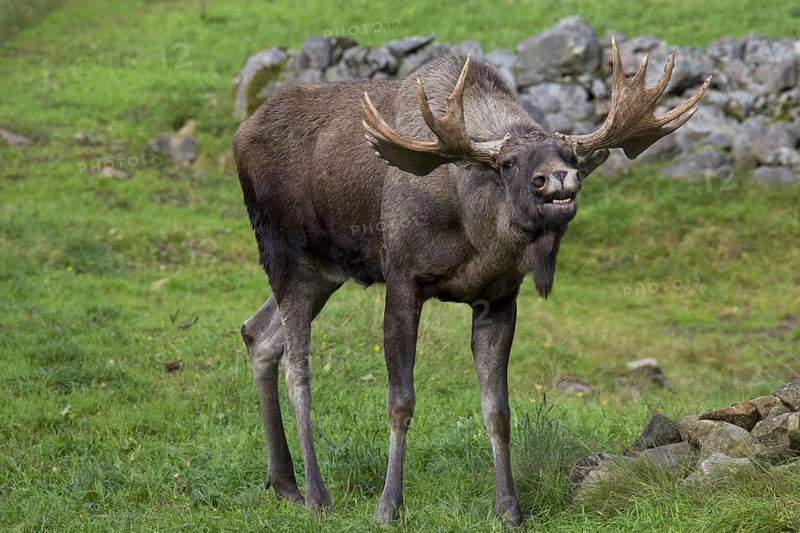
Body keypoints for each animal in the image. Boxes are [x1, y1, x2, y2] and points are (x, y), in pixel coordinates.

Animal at [233, 38, 710, 527]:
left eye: (572, 156)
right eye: (507, 163)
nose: (559, 178)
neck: (474, 231)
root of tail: (240, 135)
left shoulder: (499, 297)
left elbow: (497, 409)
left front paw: (509, 508)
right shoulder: (402, 280)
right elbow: (400, 401)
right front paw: (389, 506)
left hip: (327, 272)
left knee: (258, 334)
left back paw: (283, 483)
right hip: (285, 251)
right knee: (297, 365)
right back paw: (315, 493)